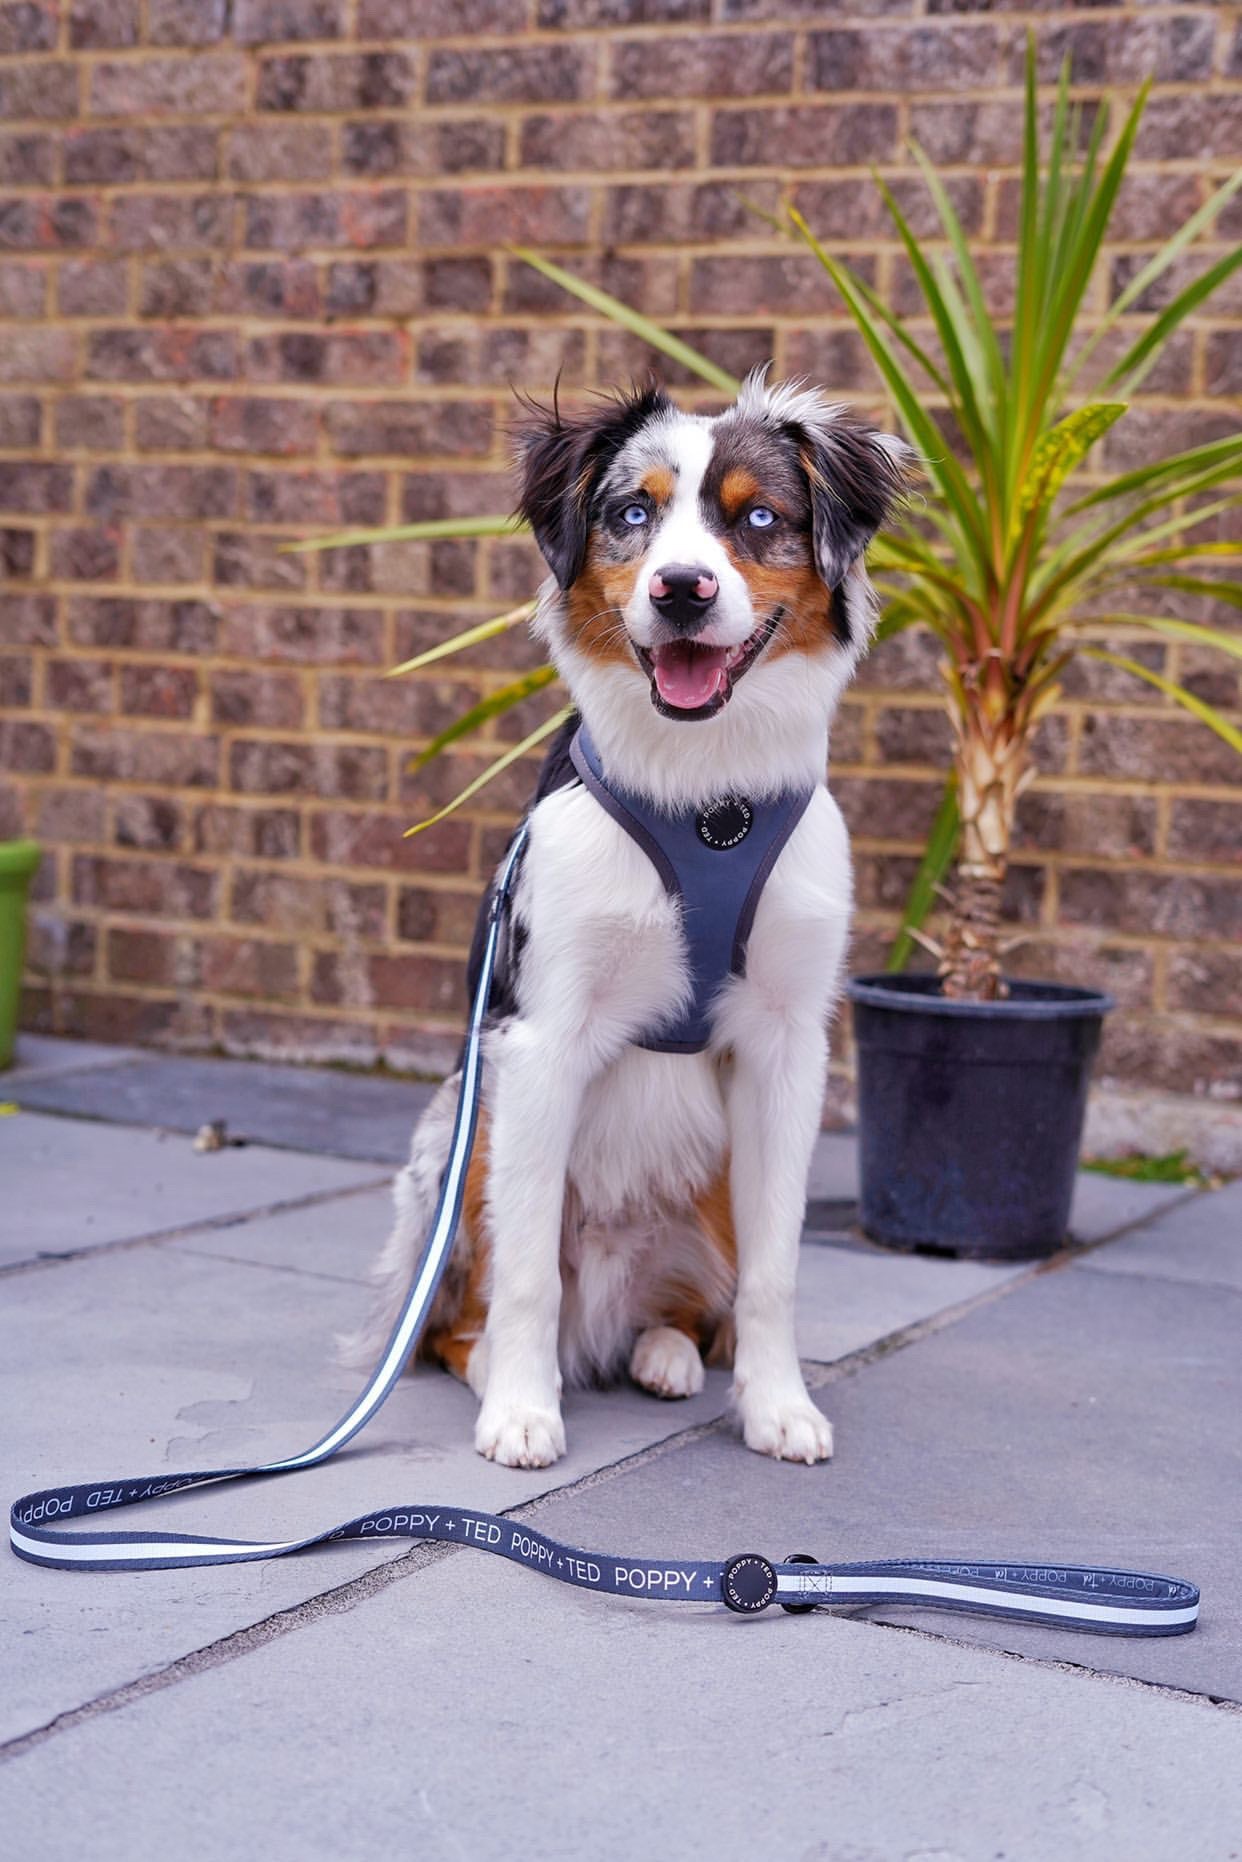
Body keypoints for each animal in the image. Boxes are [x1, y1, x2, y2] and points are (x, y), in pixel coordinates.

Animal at [364, 363, 908, 1467]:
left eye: (757, 517)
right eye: (631, 514)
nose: (681, 589)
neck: (707, 799)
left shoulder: (789, 1044)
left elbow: (776, 1271)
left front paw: (777, 1406)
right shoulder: (539, 1042)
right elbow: (527, 1270)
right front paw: (522, 1412)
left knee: (694, 1305)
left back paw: (665, 1353)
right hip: (461, 1134)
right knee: (456, 1320)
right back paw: (506, 1367)